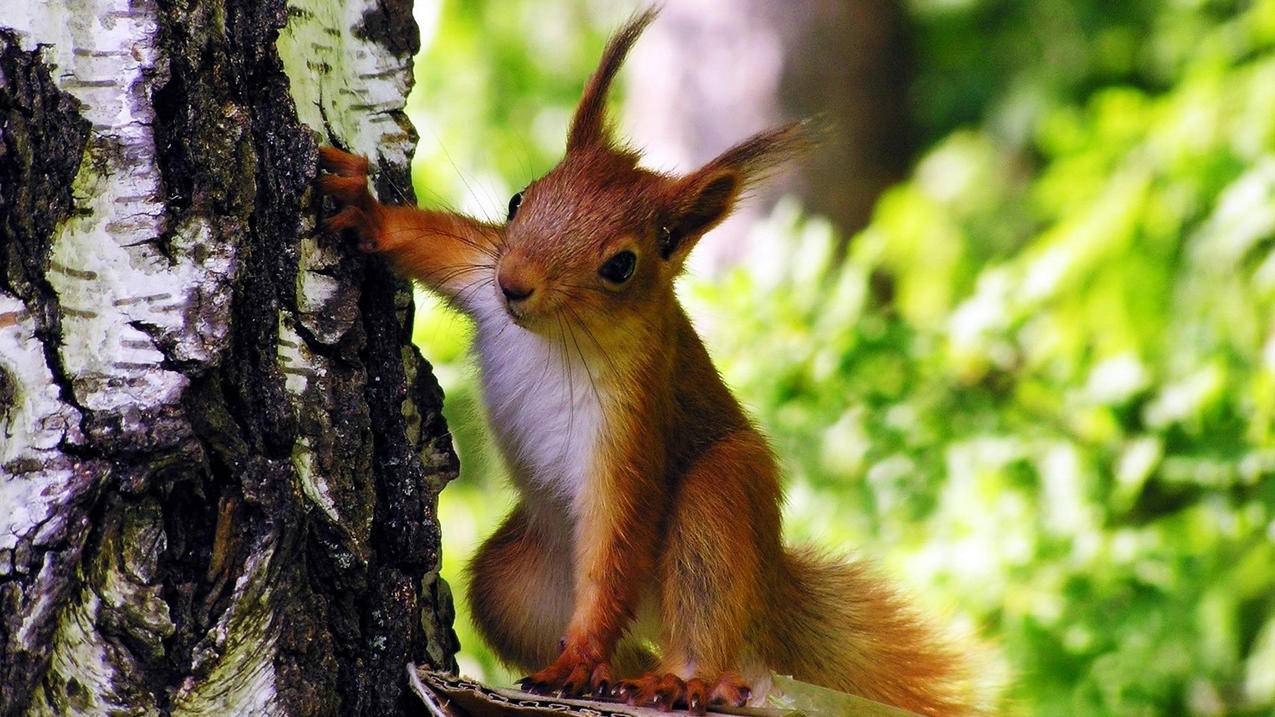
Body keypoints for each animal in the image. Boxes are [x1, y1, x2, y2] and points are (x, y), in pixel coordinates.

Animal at [318, 6, 984, 714]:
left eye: (620, 266)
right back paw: (617, 676)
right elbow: (434, 244)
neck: (555, 335)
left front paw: (580, 656)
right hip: (516, 583)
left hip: (720, 502)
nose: (515, 284)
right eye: (520, 200)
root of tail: (768, 598)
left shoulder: (634, 415)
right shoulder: (480, 270)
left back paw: (680, 677)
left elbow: (617, 535)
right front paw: (366, 211)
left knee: (705, 613)